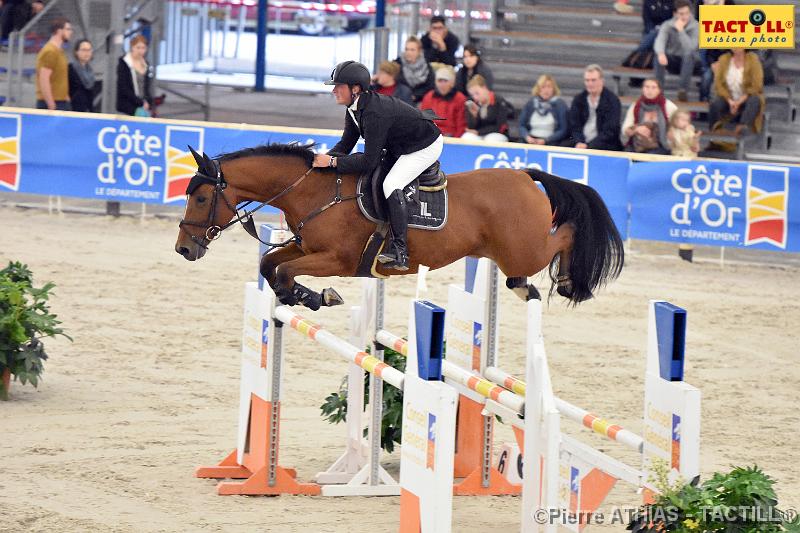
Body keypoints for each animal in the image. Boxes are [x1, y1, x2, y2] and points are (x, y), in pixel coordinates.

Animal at [175, 144, 624, 312]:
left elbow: (283, 270)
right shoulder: (305, 248)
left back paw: (570, 282)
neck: (312, 192)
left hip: (525, 247)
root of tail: (525, 176)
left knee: (566, 232)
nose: (183, 249)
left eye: (200, 198)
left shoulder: (337, 260)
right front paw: (304, 297)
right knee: (526, 268)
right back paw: (526, 288)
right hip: (509, 252)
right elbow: (270, 264)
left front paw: (316, 296)